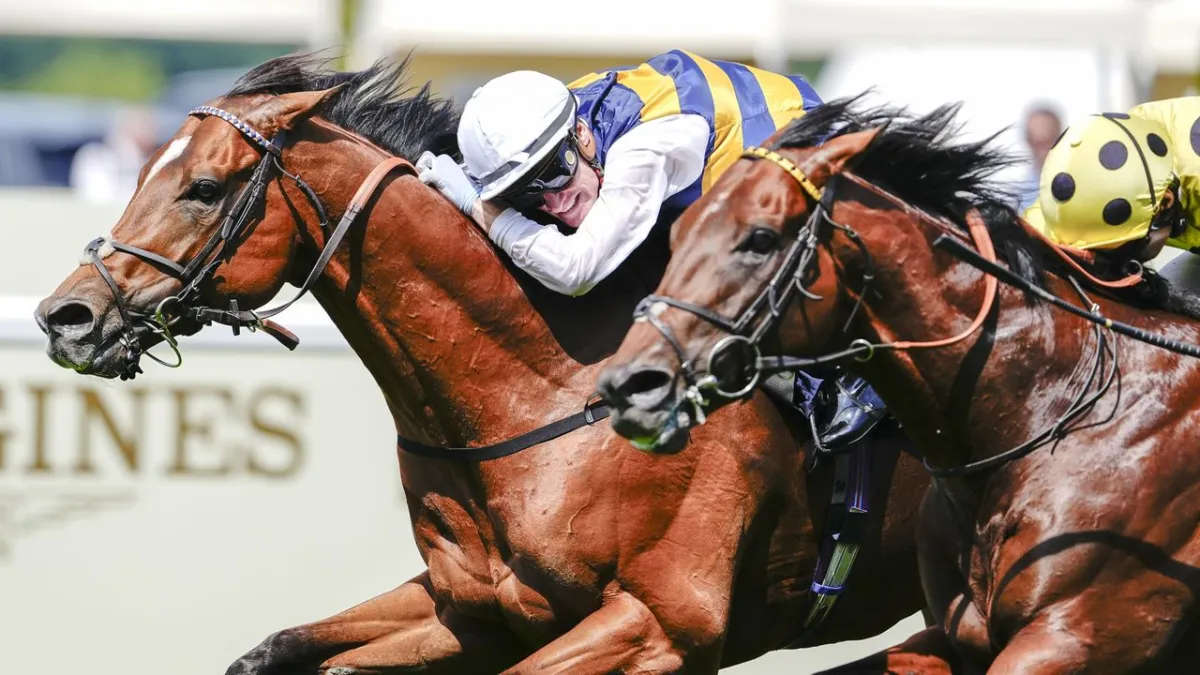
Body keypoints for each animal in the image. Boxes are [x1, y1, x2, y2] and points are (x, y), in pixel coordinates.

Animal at [33, 55, 931, 674]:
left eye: (205, 186)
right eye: (145, 170)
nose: (65, 316)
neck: (540, 394)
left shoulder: (663, 622)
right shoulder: (473, 610)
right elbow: (286, 647)